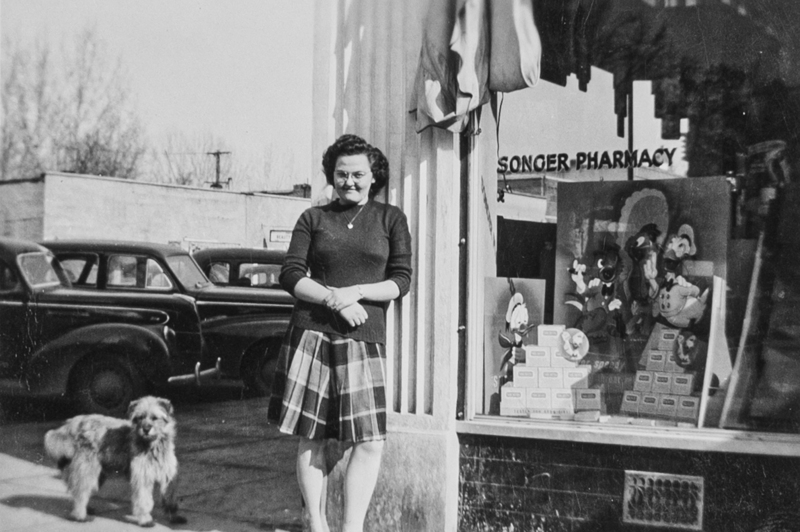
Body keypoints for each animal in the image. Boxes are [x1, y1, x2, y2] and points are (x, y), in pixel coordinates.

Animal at [45, 396, 186, 524]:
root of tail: (76, 422)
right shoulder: (142, 476)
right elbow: (143, 499)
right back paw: (79, 515)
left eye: (154, 418)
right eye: (140, 418)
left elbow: (170, 496)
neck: (154, 445)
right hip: (87, 469)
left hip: (99, 474)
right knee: (80, 491)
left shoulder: (168, 475)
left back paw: (86, 509)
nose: (146, 429)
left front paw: (173, 515)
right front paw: (145, 518)